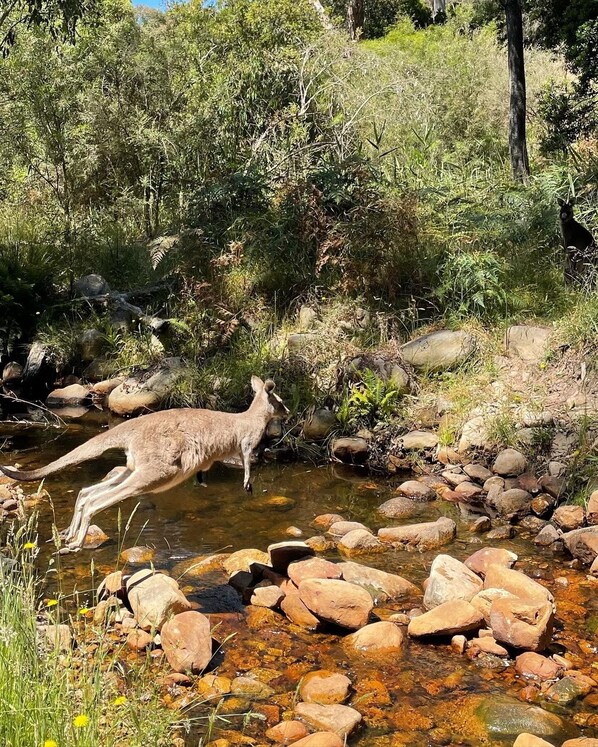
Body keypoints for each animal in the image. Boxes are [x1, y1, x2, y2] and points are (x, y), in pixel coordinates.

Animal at [0, 376, 288, 551]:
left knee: (87, 492)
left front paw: (205, 479)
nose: (288, 412)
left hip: (134, 467)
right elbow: (247, 460)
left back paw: (69, 535)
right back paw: (76, 542)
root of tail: (132, 429)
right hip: (159, 470)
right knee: (97, 499)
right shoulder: (247, 441)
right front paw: (247, 483)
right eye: (281, 402)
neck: (251, 416)